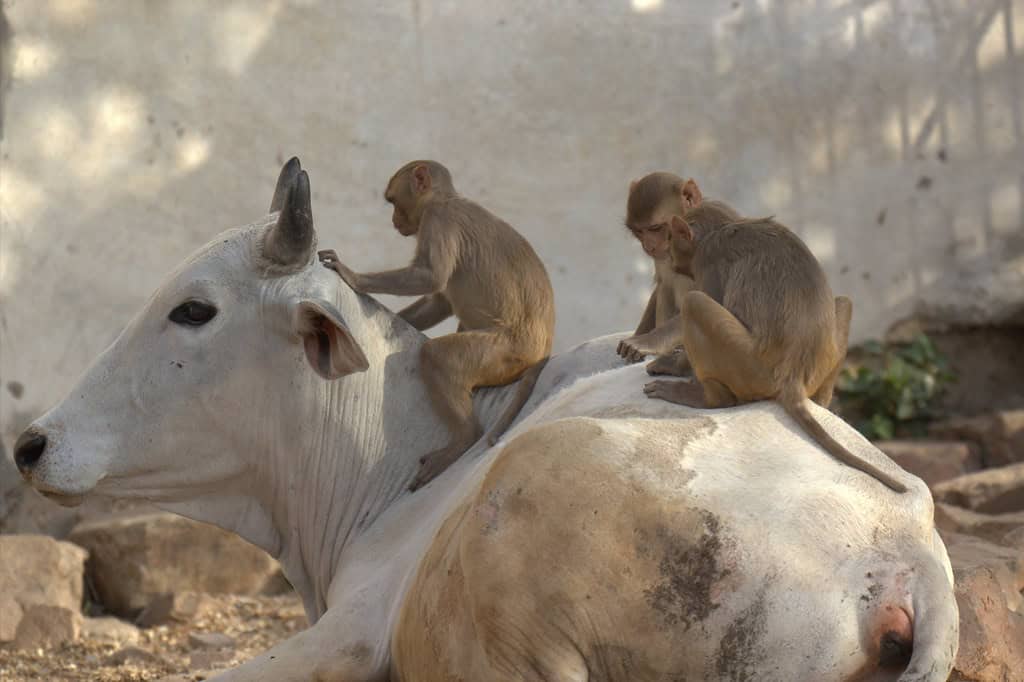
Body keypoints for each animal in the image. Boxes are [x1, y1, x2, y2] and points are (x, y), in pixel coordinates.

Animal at [319, 160, 555, 491]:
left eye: (392, 201)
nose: (394, 220)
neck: (445, 198)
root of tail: (543, 350)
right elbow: (440, 300)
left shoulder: (437, 220)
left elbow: (430, 278)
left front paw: (352, 276)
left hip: (504, 352)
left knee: (438, 355)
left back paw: (465, 436)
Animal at [617, 172, 740, 376]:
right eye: (639, 231)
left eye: (656, 228)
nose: (648, 246)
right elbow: (662, 284)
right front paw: (640, 337)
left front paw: (647, 341)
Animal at [641, 196, 907, 493]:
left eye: (671, 238)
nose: (668, 255)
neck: (723, 227)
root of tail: (792, 380)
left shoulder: (707, 261)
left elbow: (707, 298)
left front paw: (667, 360)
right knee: (844, 303)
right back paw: (821, 402)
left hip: (749, 367)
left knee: (695, 303)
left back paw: (708, 398)